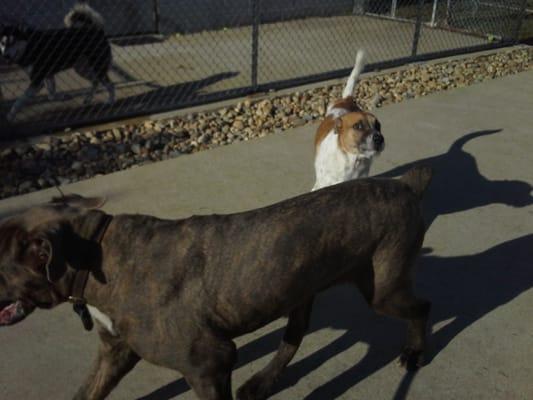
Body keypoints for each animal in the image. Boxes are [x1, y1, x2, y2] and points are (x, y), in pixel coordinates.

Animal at [0, 166, 432, 400]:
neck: (95, 254)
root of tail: (405, 185)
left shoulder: (209, 363)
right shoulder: (115, 353)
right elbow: (88, 391)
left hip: (382, 290)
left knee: (422, 307)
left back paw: (414, 352)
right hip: (301, 286)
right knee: (293, 337)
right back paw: (261, 383)